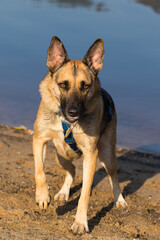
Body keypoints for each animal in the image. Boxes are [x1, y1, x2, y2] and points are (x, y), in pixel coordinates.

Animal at [33, 36, 127, 234]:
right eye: (63, 85)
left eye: (85, 86)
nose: (74, 112)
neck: (68, 123)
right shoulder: (39, 139)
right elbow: (39, 170)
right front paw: (43, 196)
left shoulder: (91, 155)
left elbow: (84, 194)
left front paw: (80, 222)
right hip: (60, 155)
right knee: (71, 170)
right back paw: (63, 192)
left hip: (107, 155)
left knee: (113, 177)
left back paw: (119, 200)